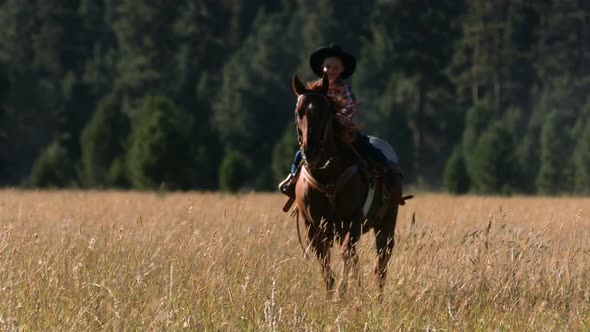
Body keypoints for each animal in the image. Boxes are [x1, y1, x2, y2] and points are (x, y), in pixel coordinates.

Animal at [292, 73, 408, 298]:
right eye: (298, 112)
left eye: (325, 112)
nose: (311, 152)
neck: (327, 175)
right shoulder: (313, 225)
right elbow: (325, 262)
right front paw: (330, 294)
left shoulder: (353, 220)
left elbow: (347, 253)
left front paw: (340, 292)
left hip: (387, 222)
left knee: (381, 260)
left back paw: (377, 296)